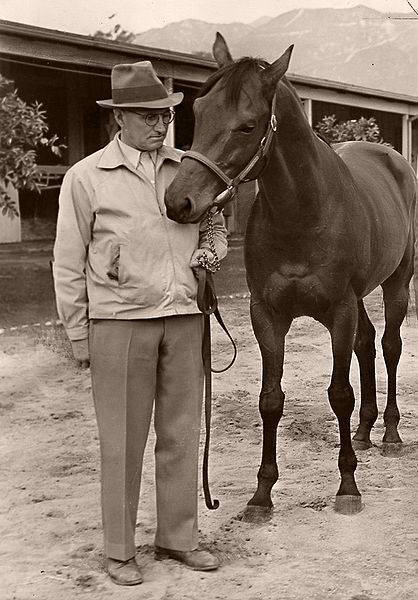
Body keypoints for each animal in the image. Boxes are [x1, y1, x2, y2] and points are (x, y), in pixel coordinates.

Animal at [165, 34, 416, 516]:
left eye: (247, 126)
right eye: (199, 110)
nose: (178, 201)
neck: (303, 211)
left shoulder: (338, 311)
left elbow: (339, 394)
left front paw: (348, 486)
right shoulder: (267, 314)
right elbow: (270, 399)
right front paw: (262, 492)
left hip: (397, 282)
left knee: (390, 345)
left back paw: (391, 433)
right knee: (366, 343)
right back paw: (365, 431)